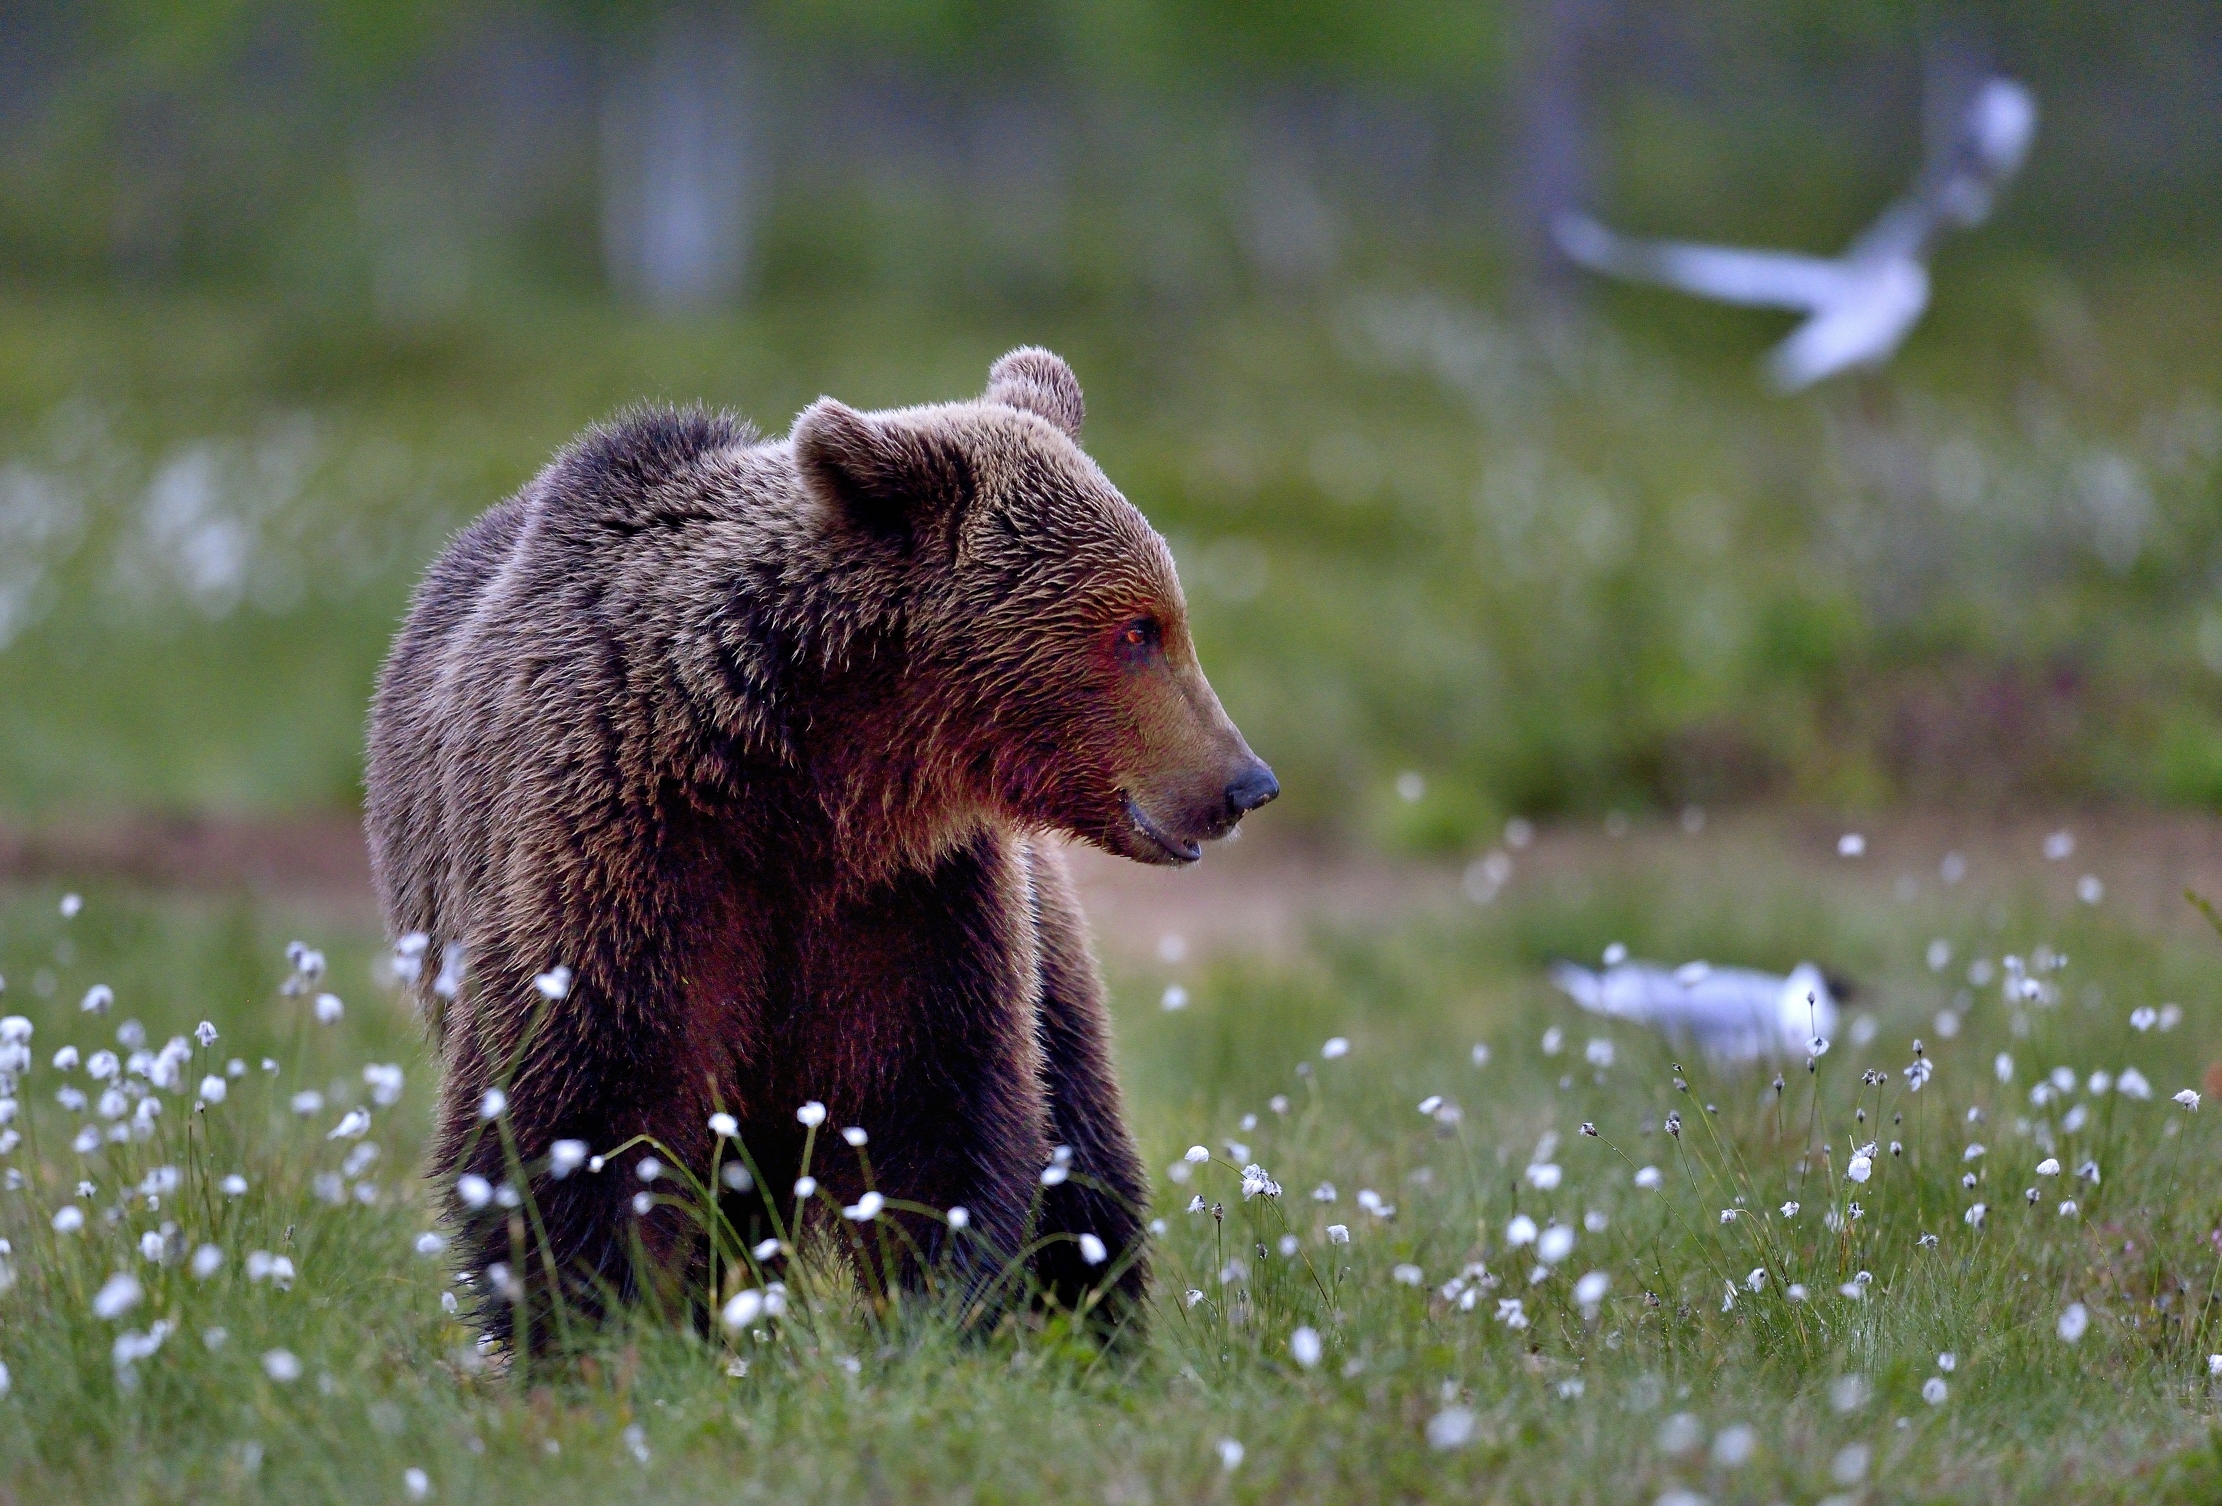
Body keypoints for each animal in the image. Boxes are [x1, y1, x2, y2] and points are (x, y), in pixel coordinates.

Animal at [364, 347, 1277, 1346]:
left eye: (1168, 616)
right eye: (1135, 630)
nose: (1245, 784)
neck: (815, 777)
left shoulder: (909, 896)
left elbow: (934, 1113)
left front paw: (938, 1323)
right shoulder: (622, 851)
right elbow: (581, 1107)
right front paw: (598, 1330)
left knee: (1080, 1141)